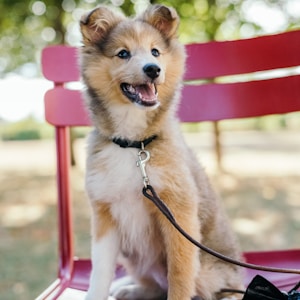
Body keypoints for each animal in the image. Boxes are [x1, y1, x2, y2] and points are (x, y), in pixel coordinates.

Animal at [79, 4, 244, 300]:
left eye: (155, 52)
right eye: (123, 53)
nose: (153, 69)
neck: (135, 146)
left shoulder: (178, 215)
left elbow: (179, 276)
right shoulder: (105, 214)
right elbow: (100, 272)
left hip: (208, 270)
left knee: (223, 290)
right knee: (154, 285)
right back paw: (129, 289)